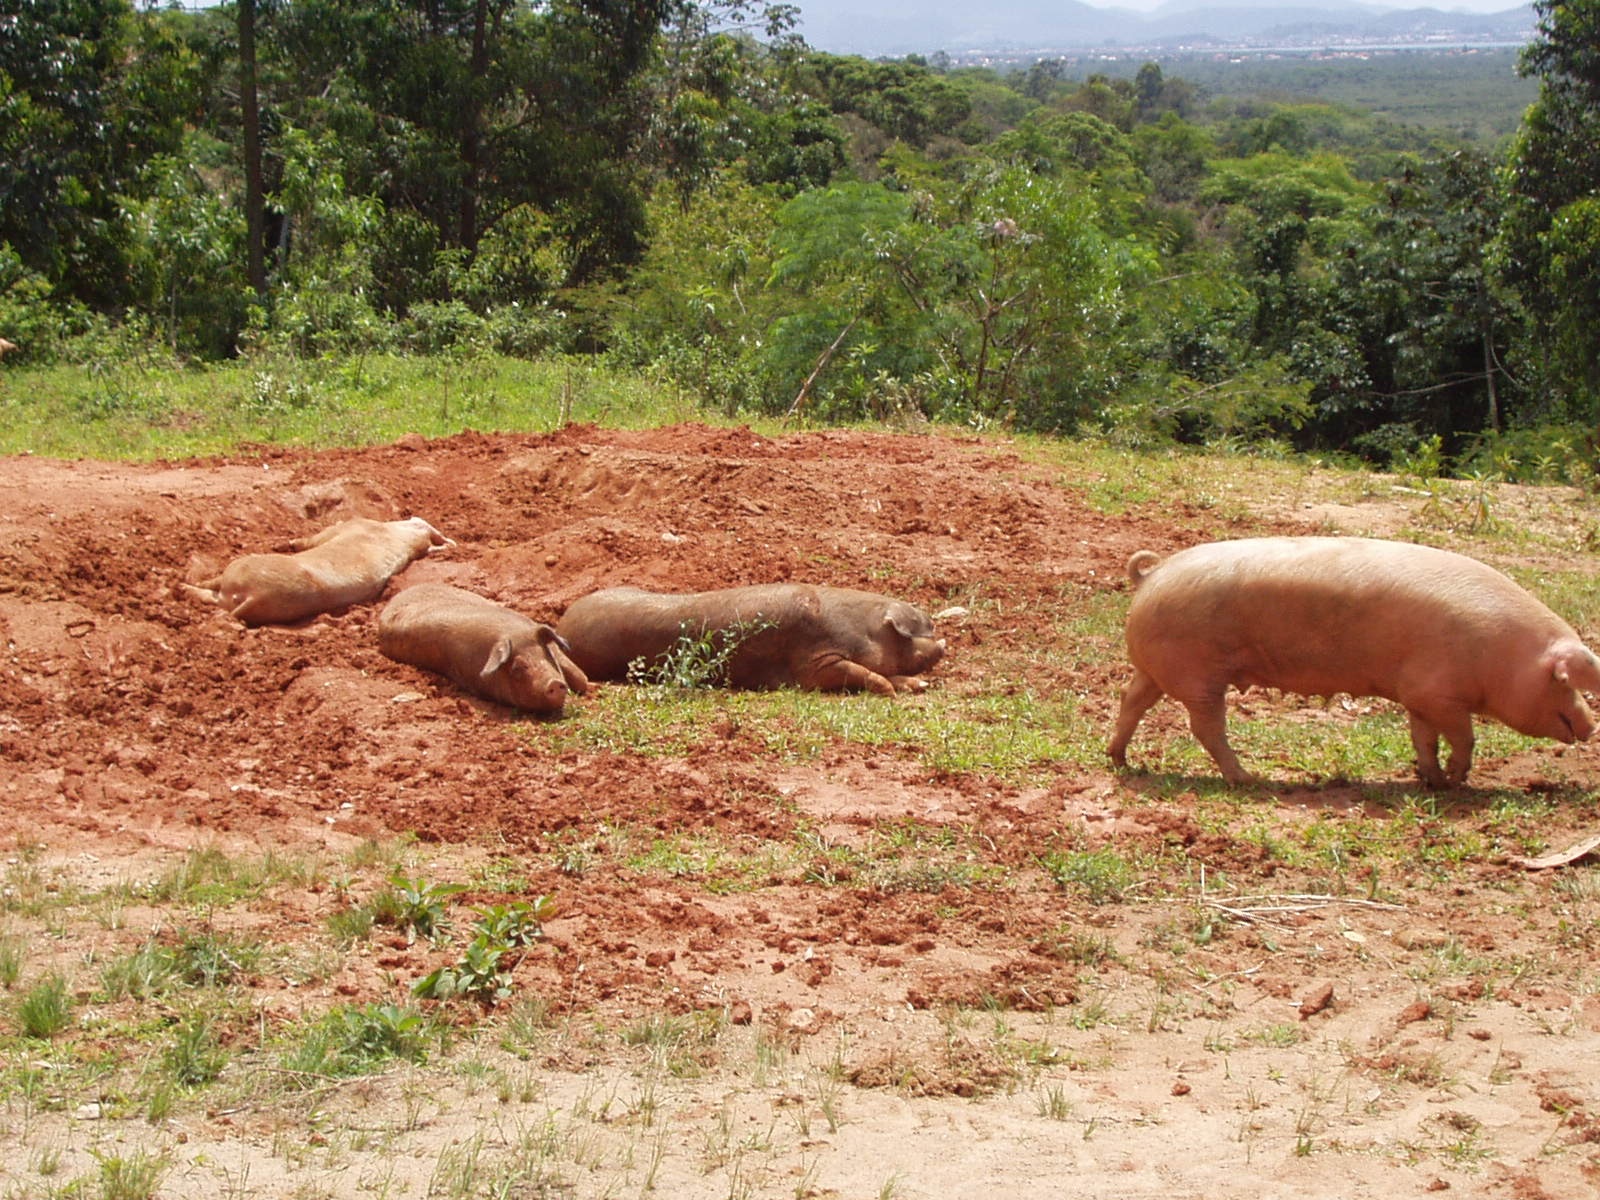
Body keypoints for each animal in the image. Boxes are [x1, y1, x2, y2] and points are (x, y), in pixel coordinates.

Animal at [193, 518, 457, 630]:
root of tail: (253, 596)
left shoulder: (347, 526)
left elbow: (314, 537)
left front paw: (288, 542)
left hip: (238, 568)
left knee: (209, 586)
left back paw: (184, 584)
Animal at [556, 582, 940, 694]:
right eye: (915, 631)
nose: (944, 645)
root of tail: (562, 626)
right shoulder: (816, 664)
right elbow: (862, 674)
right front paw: (891, 691)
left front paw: (916, 686)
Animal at [1107, 537, 1600, 790]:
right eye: (1564, 683)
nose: (1590, 725)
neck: (1501, 655)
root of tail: (1152, 576)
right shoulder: (1439, 693)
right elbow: (1464, 736)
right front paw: (1457, 780)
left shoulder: (1418, 695)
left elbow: (1423, 738)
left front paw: (1430, 778)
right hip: (1199, 674)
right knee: (1204, 726)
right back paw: (1250, 779)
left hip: (1156, 668)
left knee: (1132, 699)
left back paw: (1120, 760)